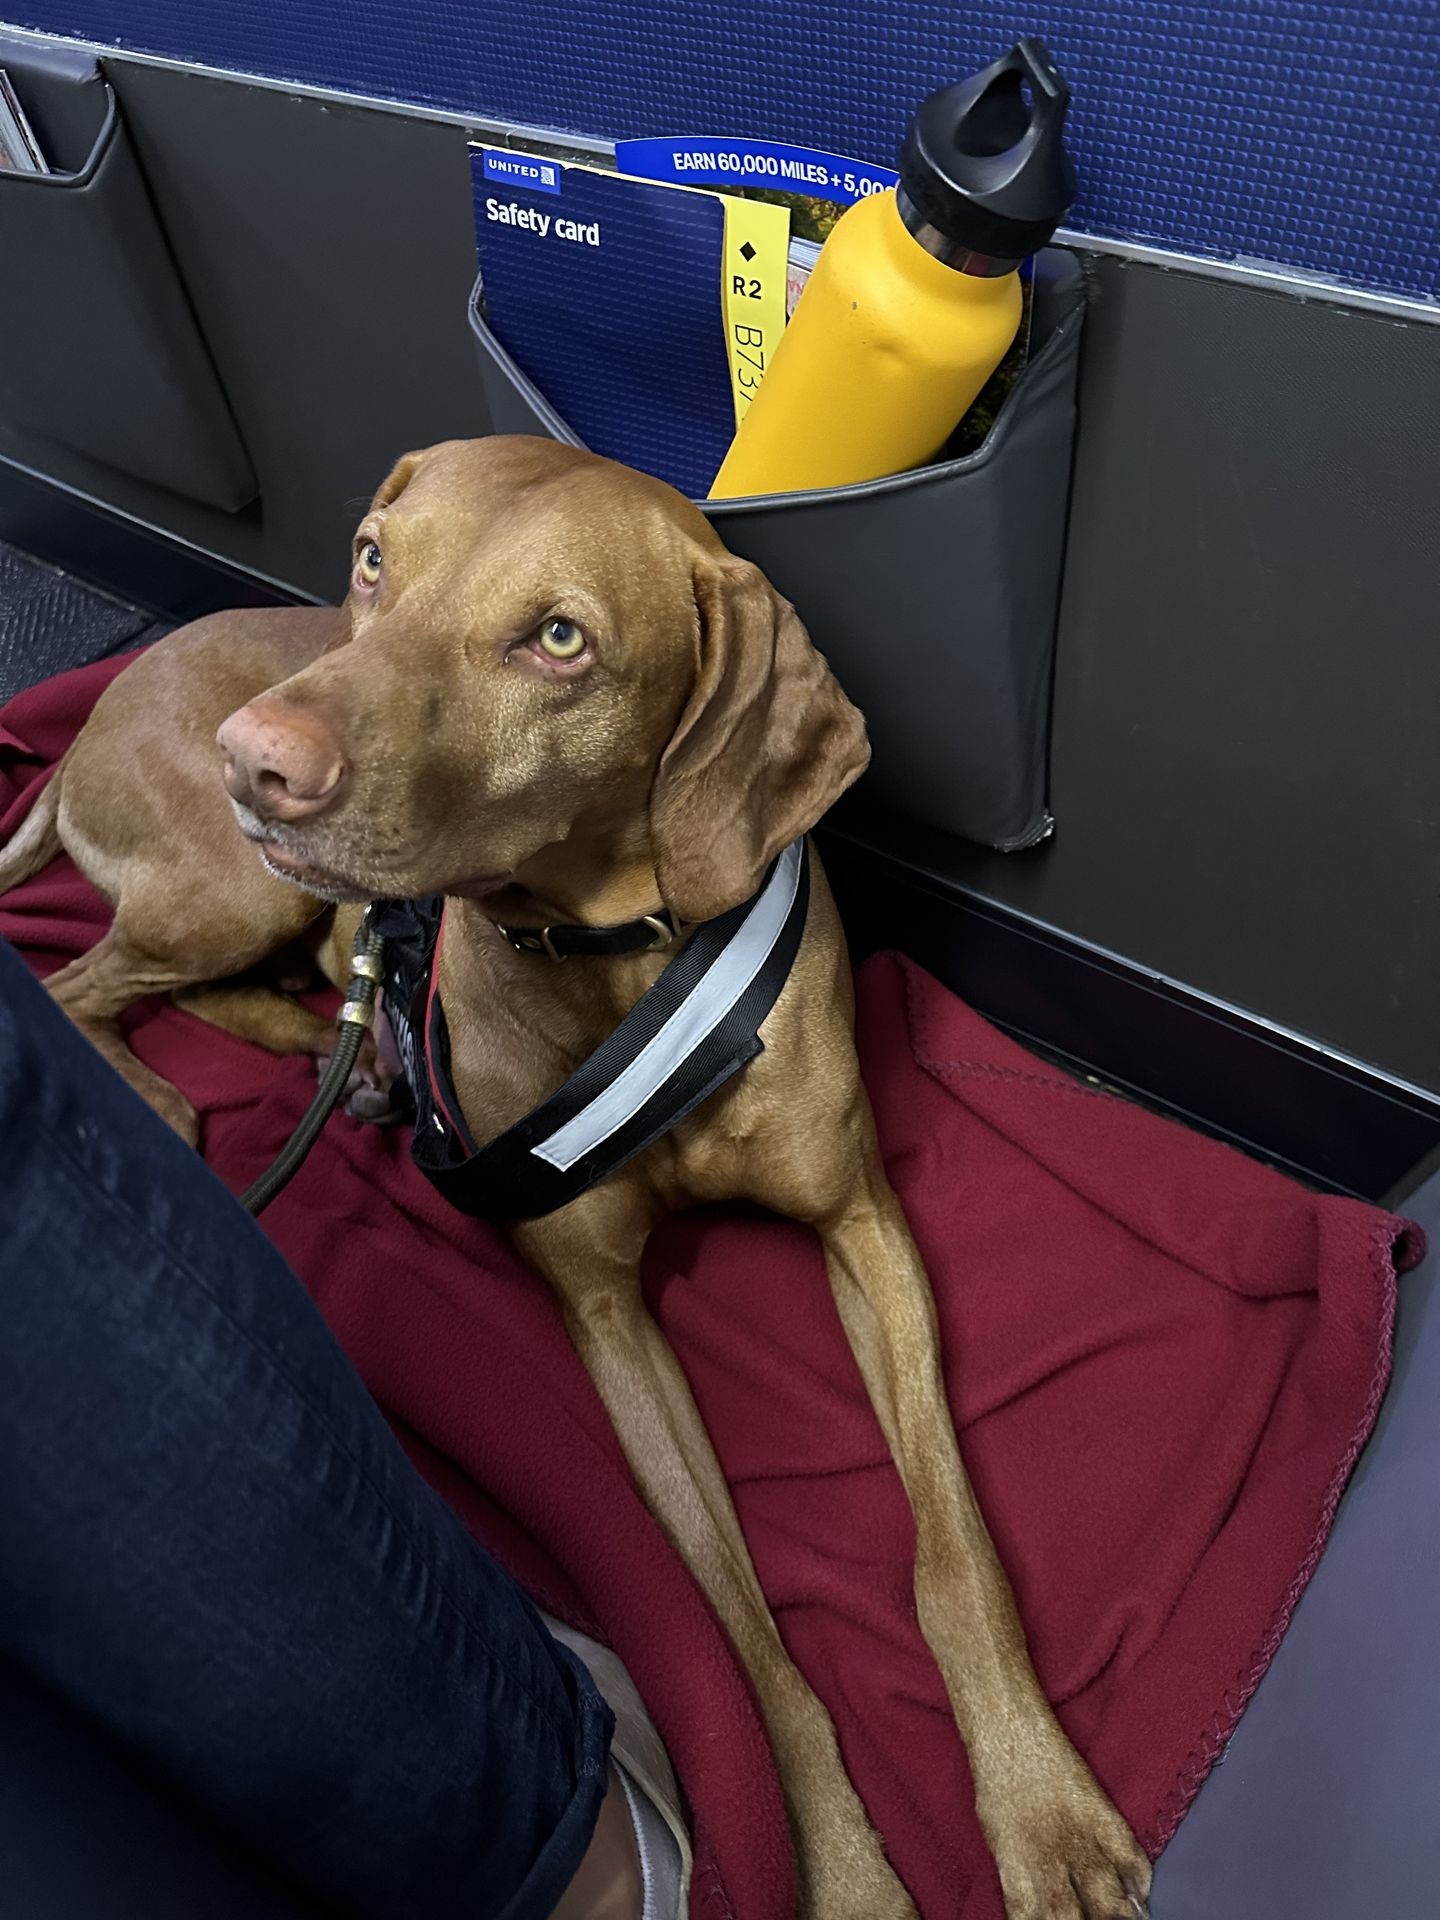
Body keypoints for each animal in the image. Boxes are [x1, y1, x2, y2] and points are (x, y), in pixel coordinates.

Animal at [0, 439, 1152, 1920]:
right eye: (372, 558)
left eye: (560, 639)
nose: (256, 760)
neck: (624, 955)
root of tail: (95, 714)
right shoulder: (608, 1321)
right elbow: (749, 1644)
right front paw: (843, 1869)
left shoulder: (866, 1227)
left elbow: (954, 1553)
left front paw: (1038, 1803)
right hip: (227, 887)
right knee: (82, 978)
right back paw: (178, 1096)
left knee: (241, 975)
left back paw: (336, 1058)